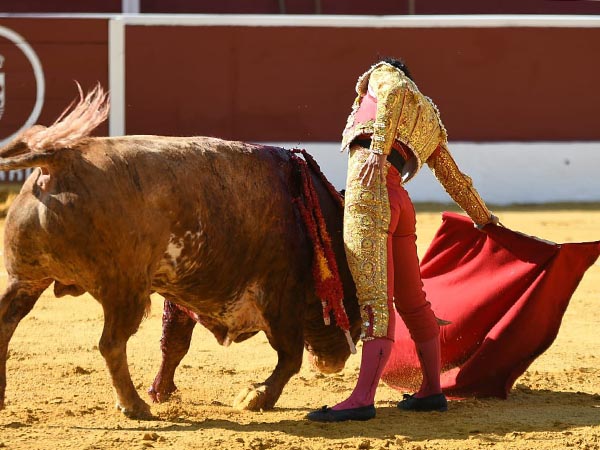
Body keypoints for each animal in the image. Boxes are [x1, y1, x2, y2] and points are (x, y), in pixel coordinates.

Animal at [0, 87, 360, 418]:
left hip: (27, 277)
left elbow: (175, 342)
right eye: (352, 299)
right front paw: (256, 397)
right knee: (111, 343)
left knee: (6, 321)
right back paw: (134, 405)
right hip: (124, 288)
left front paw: (163, 392)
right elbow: (289, 357)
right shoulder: (279, 295)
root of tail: (61, 159)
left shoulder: (185, 293)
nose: (336, 360)